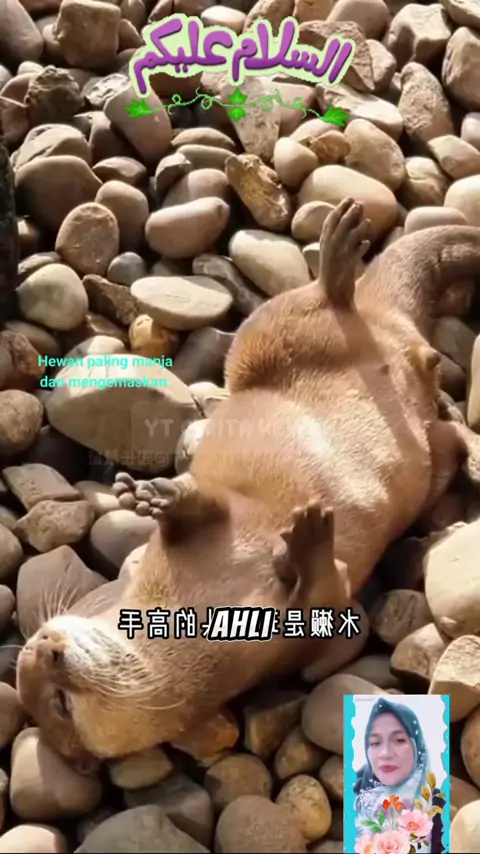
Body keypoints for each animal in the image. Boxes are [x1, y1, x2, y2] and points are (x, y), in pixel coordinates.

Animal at [16, 198, 480, 771]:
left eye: (38, 646)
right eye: (60, 703)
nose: (50, 646)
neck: (192, 620)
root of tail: (392, 326)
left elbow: (208, 511)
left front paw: (154, 496)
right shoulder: (277, 652)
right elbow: (329, 593)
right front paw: (309, 537)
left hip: (259, 342)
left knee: (309, 305)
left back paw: (337, 257)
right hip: (421, 466)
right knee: (442, 436)